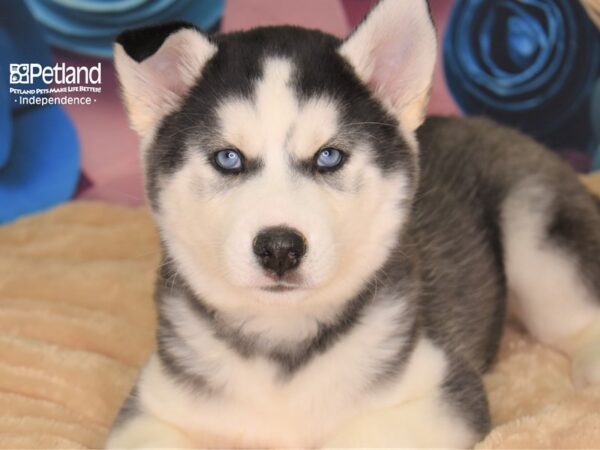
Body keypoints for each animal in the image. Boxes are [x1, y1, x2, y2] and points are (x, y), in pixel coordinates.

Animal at [105, 1, 600, 448]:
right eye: (228, 158)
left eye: (329, 156)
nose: (280, 248)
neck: (284, 340)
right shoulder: (149, 408)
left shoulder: (442, 393)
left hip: (534, 224)